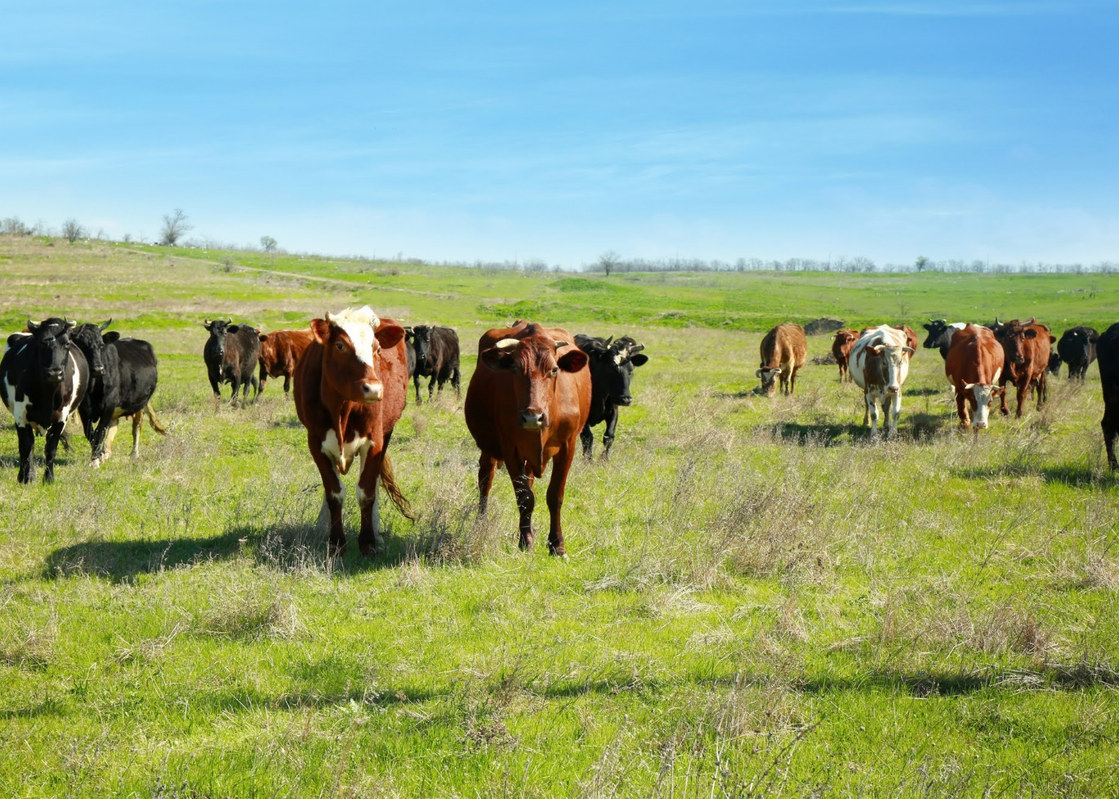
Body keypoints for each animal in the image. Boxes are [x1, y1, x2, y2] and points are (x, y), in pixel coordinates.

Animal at [0, 318, 89, 483]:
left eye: (66, 343)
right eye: (42, 343)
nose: (54, 373)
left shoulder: (62, 417)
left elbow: (51, 448)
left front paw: (48, 478)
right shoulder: (20, 414)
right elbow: (26, 446)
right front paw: (26, 477)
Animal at [71, 321, 165, 466]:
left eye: (101, 345)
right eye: (82, 345)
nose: (98, 368)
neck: (92, 387)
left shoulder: (108, 406)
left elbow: (99, 433)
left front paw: (95, 461)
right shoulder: (84, 410)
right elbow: (90, 433)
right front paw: (98, 456)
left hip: (140, 403)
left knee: (136, 427)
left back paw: (134, 453)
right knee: (113, 428)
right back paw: (106, 453)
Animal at [293, 306, 412, 556]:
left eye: (377, 349)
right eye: (340, 345)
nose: (374, 389)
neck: (342, 409)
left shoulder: (375, 441)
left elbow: (367, 492)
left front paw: (368, 541)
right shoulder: (315, 443)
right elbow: (334, 492)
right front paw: (335, 541)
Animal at [464, 321, 591, 556]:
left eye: (554, 369)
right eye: (515, 369)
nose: (533, 417)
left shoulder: (568, 447)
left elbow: (555, 495)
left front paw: (557, 544)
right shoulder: (510, 449)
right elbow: (524, 498)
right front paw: (526, 541)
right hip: (489, 448)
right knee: (485, 479)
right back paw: (481, 522)